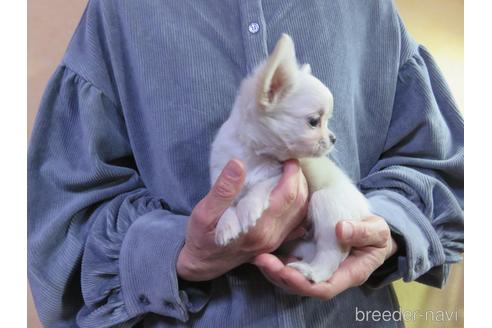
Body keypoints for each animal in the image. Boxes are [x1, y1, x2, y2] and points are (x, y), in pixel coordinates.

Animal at [210, 34, 368, 284]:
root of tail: (366, 209)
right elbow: (226, 205)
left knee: (331, 255)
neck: (256, 155)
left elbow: (260, 186)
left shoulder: (279, 175)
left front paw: (247, 209)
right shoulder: (221, 173)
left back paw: (311, 273)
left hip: (328, 205)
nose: (333, 138)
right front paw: (225, 226)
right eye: (314, 121)